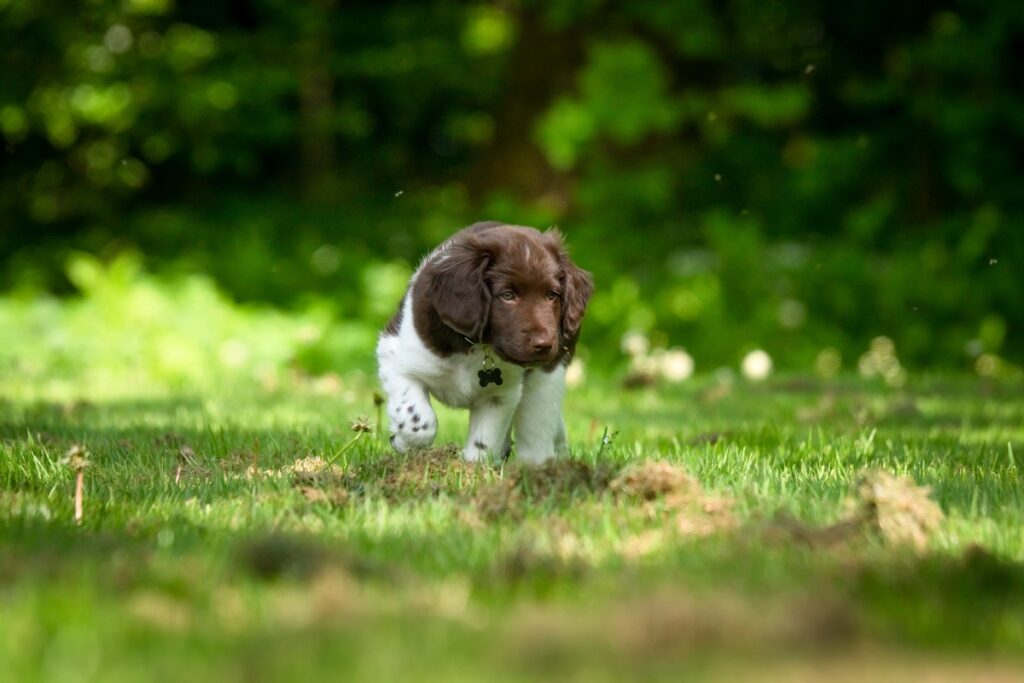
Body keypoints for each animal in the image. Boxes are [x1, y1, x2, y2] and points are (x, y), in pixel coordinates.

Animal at [376, 222, 593, 462]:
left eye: (552, 295)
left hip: (547, 378)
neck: (477, 346)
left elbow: (484, 441)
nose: (544, 345)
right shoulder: (395, 357)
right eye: (507, 295)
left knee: (537, 427)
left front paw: (472, 467)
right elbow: (418, 420)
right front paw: (402, 442)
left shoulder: (500, 395)